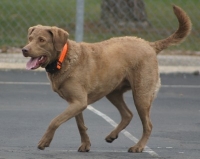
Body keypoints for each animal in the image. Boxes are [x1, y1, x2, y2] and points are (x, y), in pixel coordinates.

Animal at [21, 5, 191, 153]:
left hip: (141, 95)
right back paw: (112, 135)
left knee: (148, 125)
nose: (24, 50)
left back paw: (138, 147)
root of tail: (150, 44)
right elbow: (80, 125)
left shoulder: (78, 102)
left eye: (42, 40)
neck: (63, 58)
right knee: (127, 114)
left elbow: (55, 121)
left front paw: (44, 142)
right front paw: (86, 145)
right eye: (30, 38)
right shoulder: (76, 102)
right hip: (113, 92)